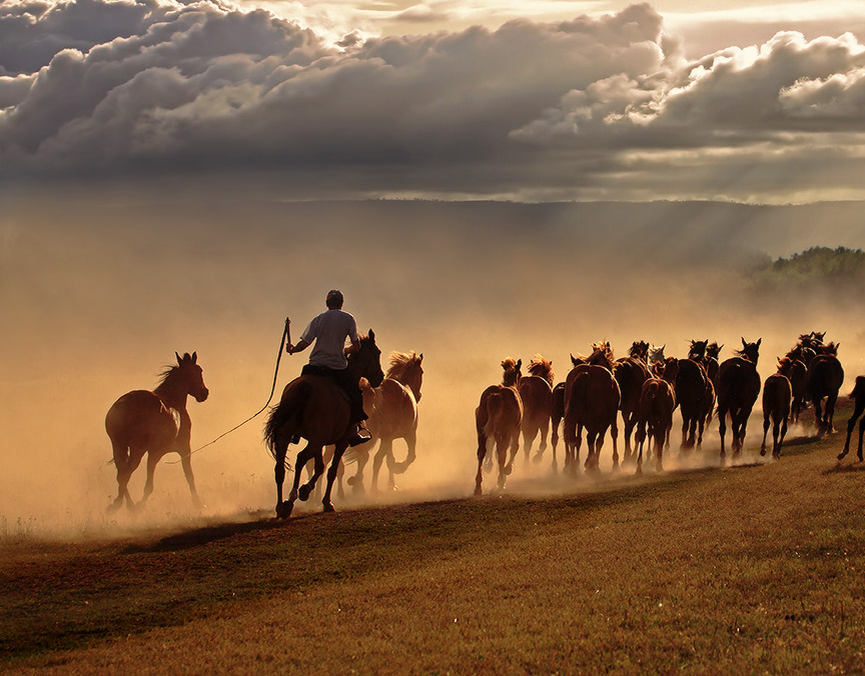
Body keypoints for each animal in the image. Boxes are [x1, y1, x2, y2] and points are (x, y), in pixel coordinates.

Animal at [104, 354, 209, 512]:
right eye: (199, 370)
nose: (205, 393)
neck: (173, 400)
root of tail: (124, 406)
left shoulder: (154, 453)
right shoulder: (176, 450)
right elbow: (188, 476)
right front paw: (198, 503)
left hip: (119, 446)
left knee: (121, 474)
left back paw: (123, 505)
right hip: (137, 449)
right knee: (125, 474)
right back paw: (127, 507)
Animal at [264, 332, 384, 516]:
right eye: (377, 352)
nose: (380, 377)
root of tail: (304, 387)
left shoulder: (319, 441)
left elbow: (320, 466)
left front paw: (309, 491)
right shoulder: (341, 441)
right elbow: (331, 470)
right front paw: (324, 501)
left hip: (287, 436)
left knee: (280, 468)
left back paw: (280, 506)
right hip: (317, 439)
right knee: (301, 458)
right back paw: (291, 498)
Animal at [346, 352, 424, 494]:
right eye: (421, 372)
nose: (419, 395)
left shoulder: (388, 438)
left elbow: (389, 459)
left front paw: (391, 484)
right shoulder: (409, 433)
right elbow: (411, 456)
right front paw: (398, 469)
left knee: (364, 457)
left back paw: (358, 485)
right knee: (372, 458)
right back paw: (367, 486)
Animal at [472, 356, 520, 494]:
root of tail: (496, 394)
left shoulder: (496, 434)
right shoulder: (516, 428)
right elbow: (514, 447)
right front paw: (508, 470)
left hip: (482, 431)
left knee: (482, 452)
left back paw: (478, 487)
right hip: (506, 431)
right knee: (503, 452)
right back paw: (501, 482)